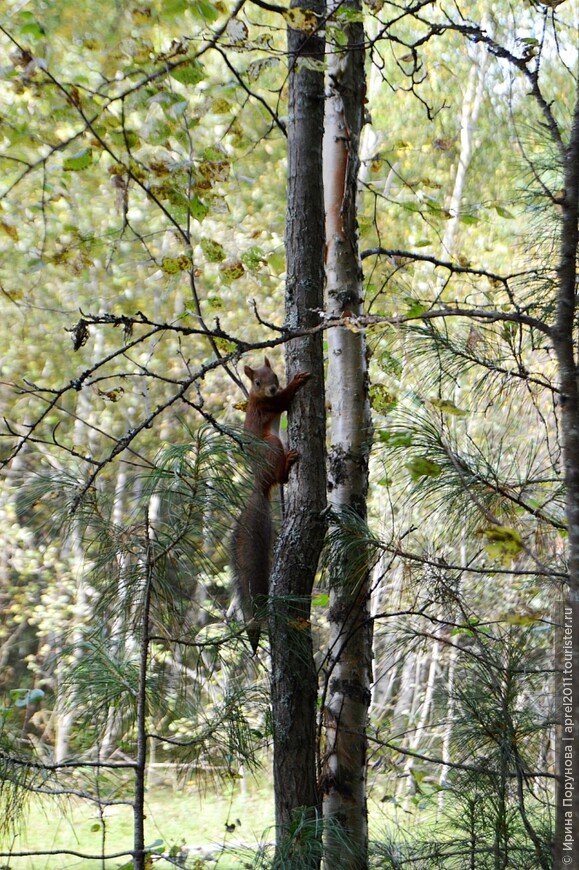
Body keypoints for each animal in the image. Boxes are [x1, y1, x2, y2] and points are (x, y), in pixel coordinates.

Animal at [232, 356, 312, 656]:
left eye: (275, 375)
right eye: (257, 382)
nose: (272, 389)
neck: (257, 398)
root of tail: (260, 483)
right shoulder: (270, 406)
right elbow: (285, 400)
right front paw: (297, 381)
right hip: (273, 443)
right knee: (280, 476)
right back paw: (287, 465)